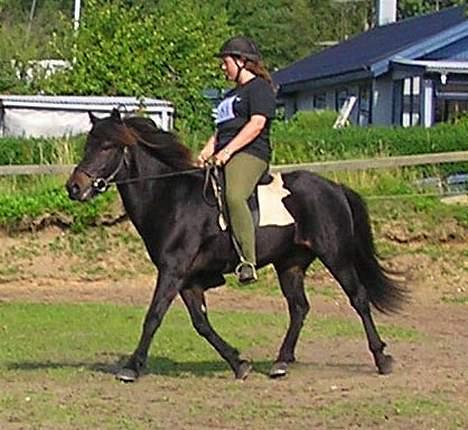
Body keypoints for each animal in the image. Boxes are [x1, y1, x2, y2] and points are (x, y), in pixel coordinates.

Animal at [66, 109, 406, 382]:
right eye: (88, 145)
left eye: (107, 146)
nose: (74, 187)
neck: (172, 197)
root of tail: (334, 187)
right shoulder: (187, 279)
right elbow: (201, 323)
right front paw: (238, 363)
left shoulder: (173, 271)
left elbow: (153, 317)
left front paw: (131, 368)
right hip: (290, 263)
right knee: (299, 307)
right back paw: (281, 363)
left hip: (335, 255)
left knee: (358, 299)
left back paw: (381, 358)